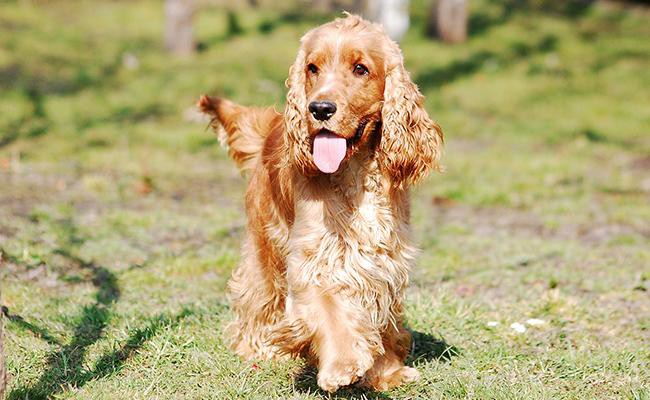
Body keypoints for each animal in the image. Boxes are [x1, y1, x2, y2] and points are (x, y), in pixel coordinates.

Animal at [197, 14, 440, 392]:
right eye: (312, 67)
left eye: (360, 68)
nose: (320, 108)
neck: (356, 173)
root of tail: (273, 125)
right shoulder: (315, 259)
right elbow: (331, 310)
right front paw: (342, 365)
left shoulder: (384, 259)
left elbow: (378, 314)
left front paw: (387, 372)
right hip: (267, 241)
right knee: (257, 293)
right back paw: (259, 347)